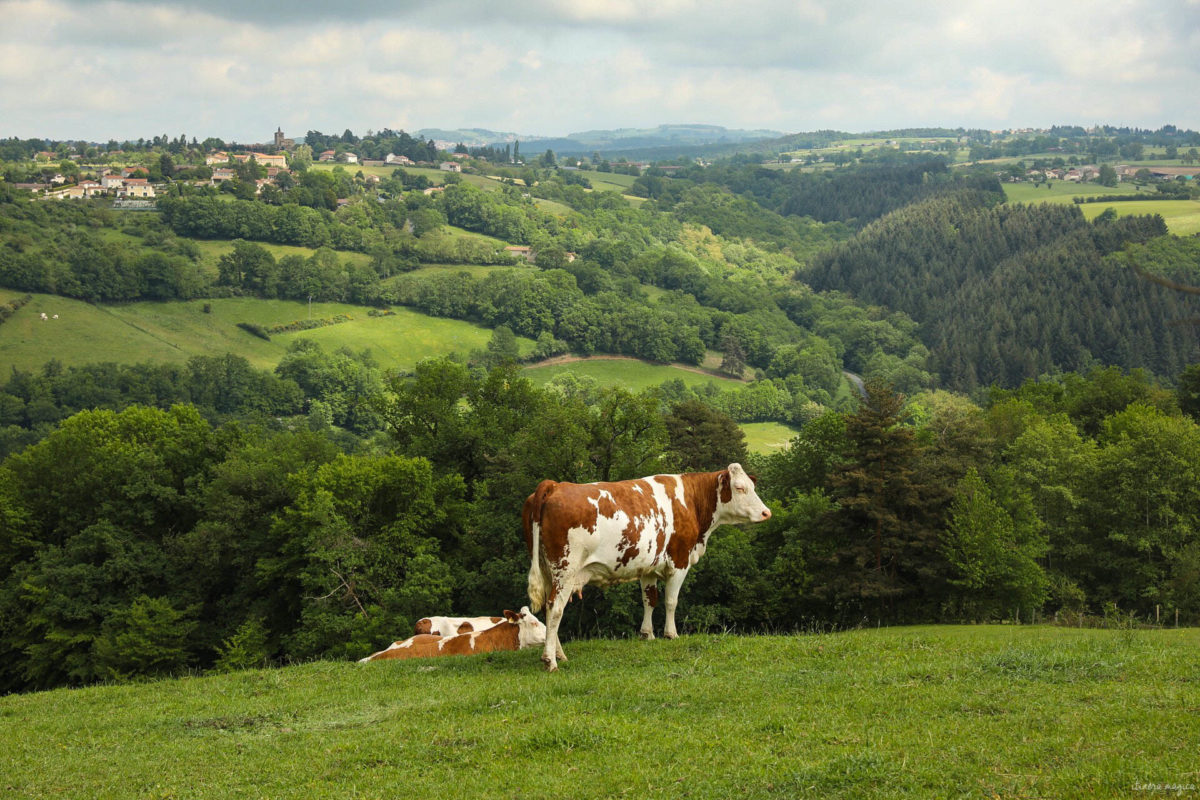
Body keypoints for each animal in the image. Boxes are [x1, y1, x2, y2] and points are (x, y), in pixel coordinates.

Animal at [523, 460, 768, 671]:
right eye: (740, 488)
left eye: (752, 485)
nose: (767, 512)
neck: (691, 500)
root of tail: (555, 485)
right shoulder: (680, 560)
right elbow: (671, 601)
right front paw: (671, 634)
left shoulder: (648, 566)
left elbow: (649, 599)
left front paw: (647, 634)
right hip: (565, 570)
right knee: (555, 608)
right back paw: (550, 660)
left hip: (547, 570)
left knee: (548, 608)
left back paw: (559, 654)